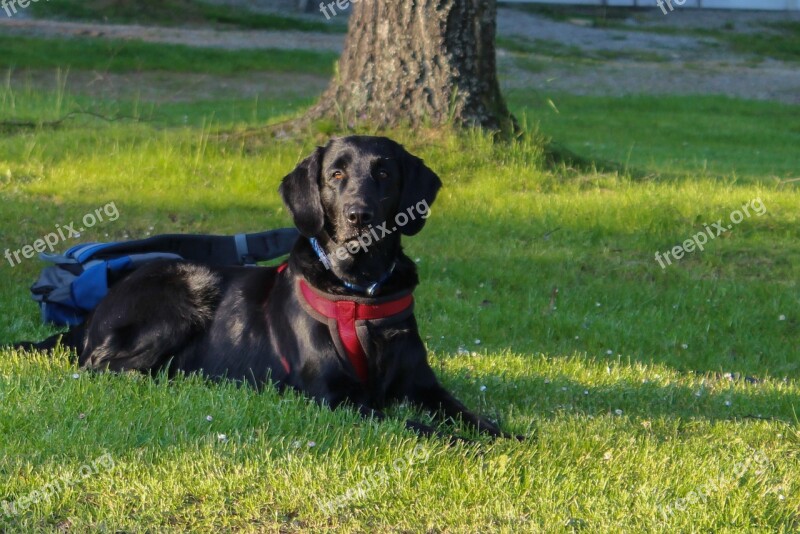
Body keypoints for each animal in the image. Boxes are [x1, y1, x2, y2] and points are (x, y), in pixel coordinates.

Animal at [20, 136, 520, 442]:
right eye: (336, 175)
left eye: (383, 174)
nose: (359, 216)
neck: (359, 290)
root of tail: (92, 313)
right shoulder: (335, 398)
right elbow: (417, 426)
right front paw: (467, 443)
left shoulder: (422, 385)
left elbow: (469, 414)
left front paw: (508, 436)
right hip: (188, 284)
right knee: (103, 366)